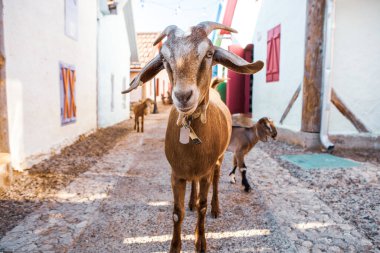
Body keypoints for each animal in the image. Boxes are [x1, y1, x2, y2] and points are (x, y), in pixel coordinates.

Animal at [122, 21, 264, 251]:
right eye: (164, 59)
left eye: (209, 54)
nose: (182, 96)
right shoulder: (176, 174)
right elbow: (176, 213)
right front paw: (175, 245)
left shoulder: (206, 171)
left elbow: (202, 206)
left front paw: (200, 242)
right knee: (193, 186)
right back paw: (191, 200)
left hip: (219, 160)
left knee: (216, 182)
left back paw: (215, 208)